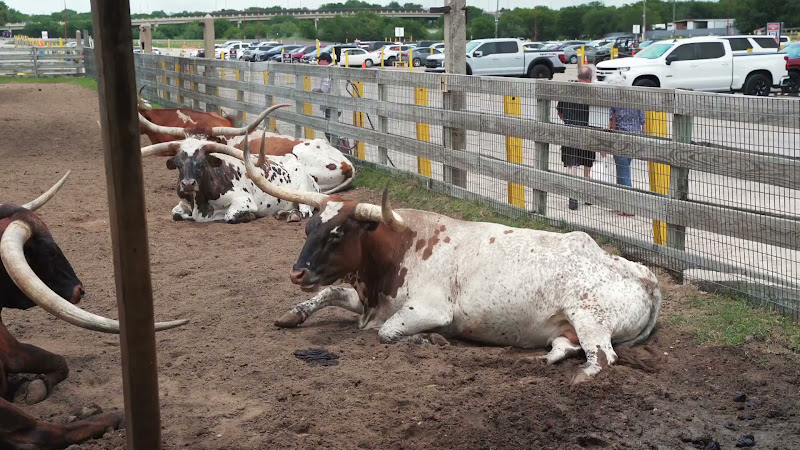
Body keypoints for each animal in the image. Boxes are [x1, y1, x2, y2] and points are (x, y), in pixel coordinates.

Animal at [1, 173, 187, 449]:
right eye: (49, 251)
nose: (80, 289)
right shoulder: (13, 350)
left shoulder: (14, 351)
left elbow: (59, 361)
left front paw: (33, 385)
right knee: (41, 433)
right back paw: (109, 416)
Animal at [139, 104, 321, 224]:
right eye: (178, 163)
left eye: (203, 162)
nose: (188, 184)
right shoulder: (182, 203)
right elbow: (175, 213)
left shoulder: (244, 201)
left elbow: (229, 216)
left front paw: (249, 216)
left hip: (304, 194)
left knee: (305, 212)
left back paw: (291, 215)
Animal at [234, 135, 662, 384]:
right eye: (309, 229)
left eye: (338, 233)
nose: (297, 273)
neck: (399, 251)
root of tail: (642, 274)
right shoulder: (365, 296)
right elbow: (328, 295)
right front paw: (293, 312)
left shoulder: (428, 309)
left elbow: (387, 331)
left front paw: (428, 339)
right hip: (570, 328)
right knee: (567, 347)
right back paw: (542, 358)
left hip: (589, 317)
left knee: (602, 358)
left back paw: (579, 377)